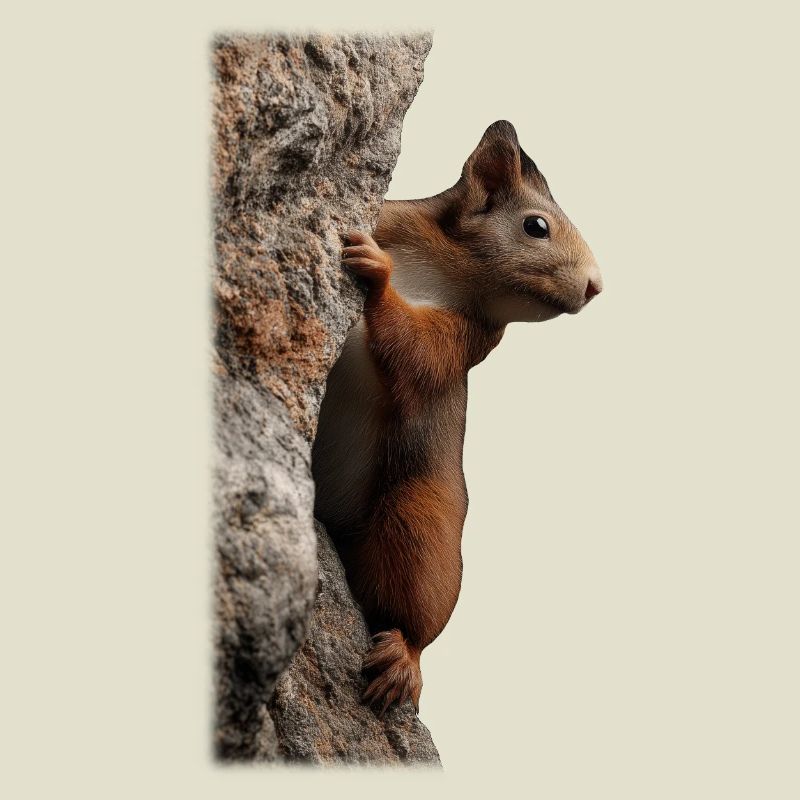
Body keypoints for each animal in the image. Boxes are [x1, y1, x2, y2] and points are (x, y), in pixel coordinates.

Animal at [311, 120, 602, 715]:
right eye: (536, 226)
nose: (596, 285)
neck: (451, 265)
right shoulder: (396, 219)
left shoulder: (469, 338)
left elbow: (418, 354)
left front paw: (378, 276)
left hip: (424, 517)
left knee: (415, 601)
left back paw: (403, 657)